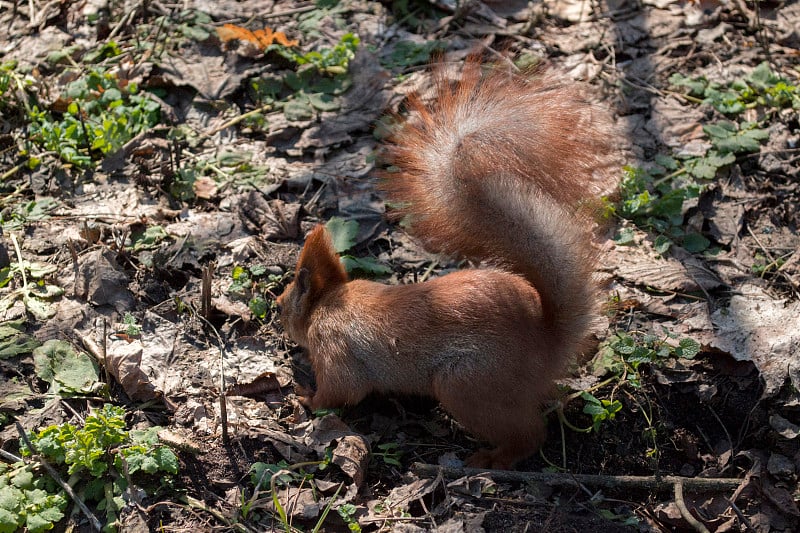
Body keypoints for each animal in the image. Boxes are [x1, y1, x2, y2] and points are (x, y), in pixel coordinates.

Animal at [278, 58, 620, 468]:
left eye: (282, 303)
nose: (275, 314)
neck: (328, 302)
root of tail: (547, 344)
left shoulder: (333, 347)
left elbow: (339, 392)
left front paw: (303, 395)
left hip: (465, 383)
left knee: (529, 435)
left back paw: (490, 461)